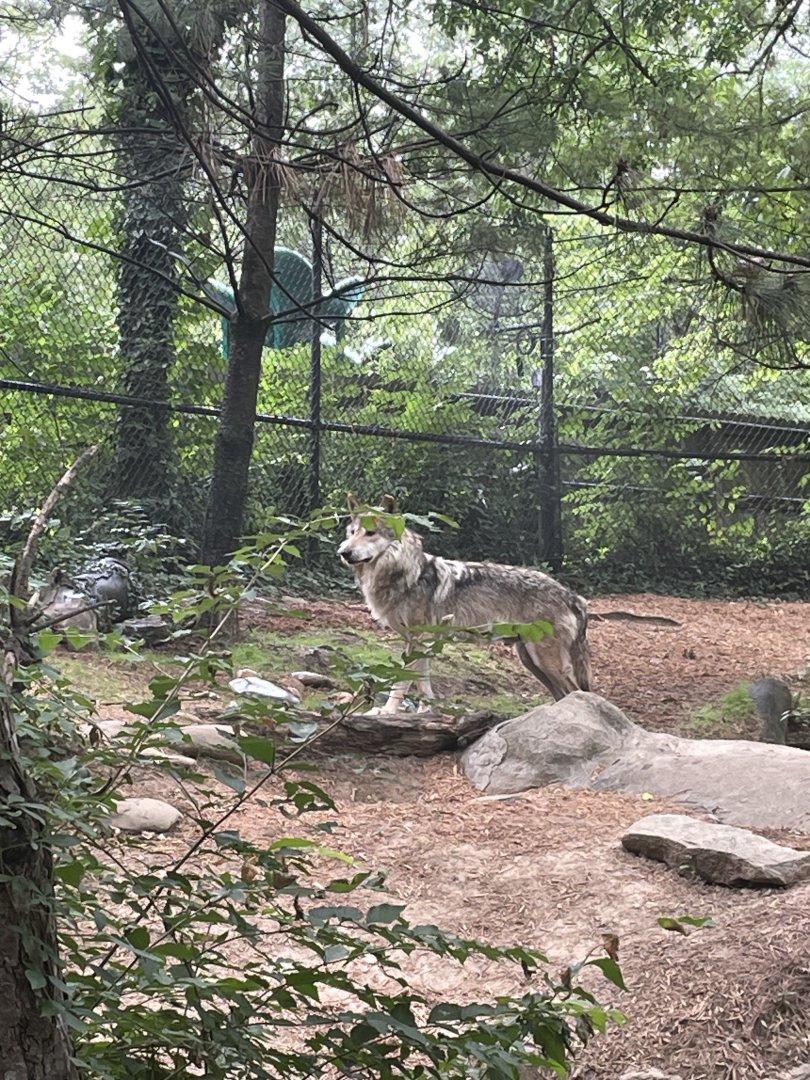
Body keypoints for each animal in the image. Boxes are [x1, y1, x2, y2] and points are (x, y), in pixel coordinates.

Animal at [337, 495, 591, 714]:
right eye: (352, 532)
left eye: (370, 533)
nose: (343, 552)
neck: (408, 574)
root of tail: (572, 596)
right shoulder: (420, 642)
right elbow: (423, 682)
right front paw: (425, 712)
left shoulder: (419, 637)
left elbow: (402, 681)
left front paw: (387, 712)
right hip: (530, 660)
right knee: (562, 695)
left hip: (545, 661)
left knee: (577, 692)